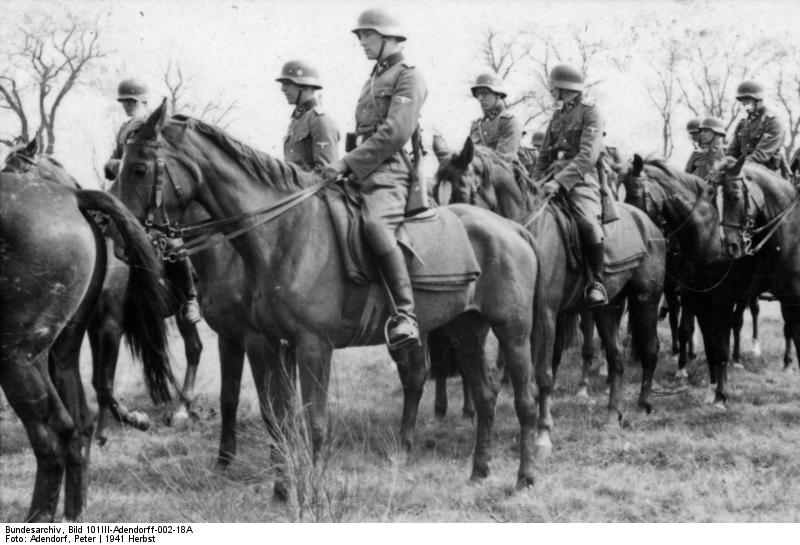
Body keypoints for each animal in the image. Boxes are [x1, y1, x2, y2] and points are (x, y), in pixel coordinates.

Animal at [115, 100, 552, 490]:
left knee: (524, 400)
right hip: (467, 329)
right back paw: (479, 472)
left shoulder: (310, 346)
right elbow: (277, 417)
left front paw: (312, 486)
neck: (284, 233)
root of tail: (512, 228)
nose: (121, 241)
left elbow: (314, 421)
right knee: (485, 395)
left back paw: (526, 476)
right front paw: (283, 487)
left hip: (513, 331)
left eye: (138, 167)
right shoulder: (269, 343)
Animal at [434, 137, 664, 438]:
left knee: (649, 348)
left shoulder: (545, 313)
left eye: (461, 191)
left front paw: (543, 427)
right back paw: (613, 415)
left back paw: (643, 403)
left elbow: (543, 371)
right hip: (607, 308)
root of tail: (649, 223)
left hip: (645, 299)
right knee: (616, 357)